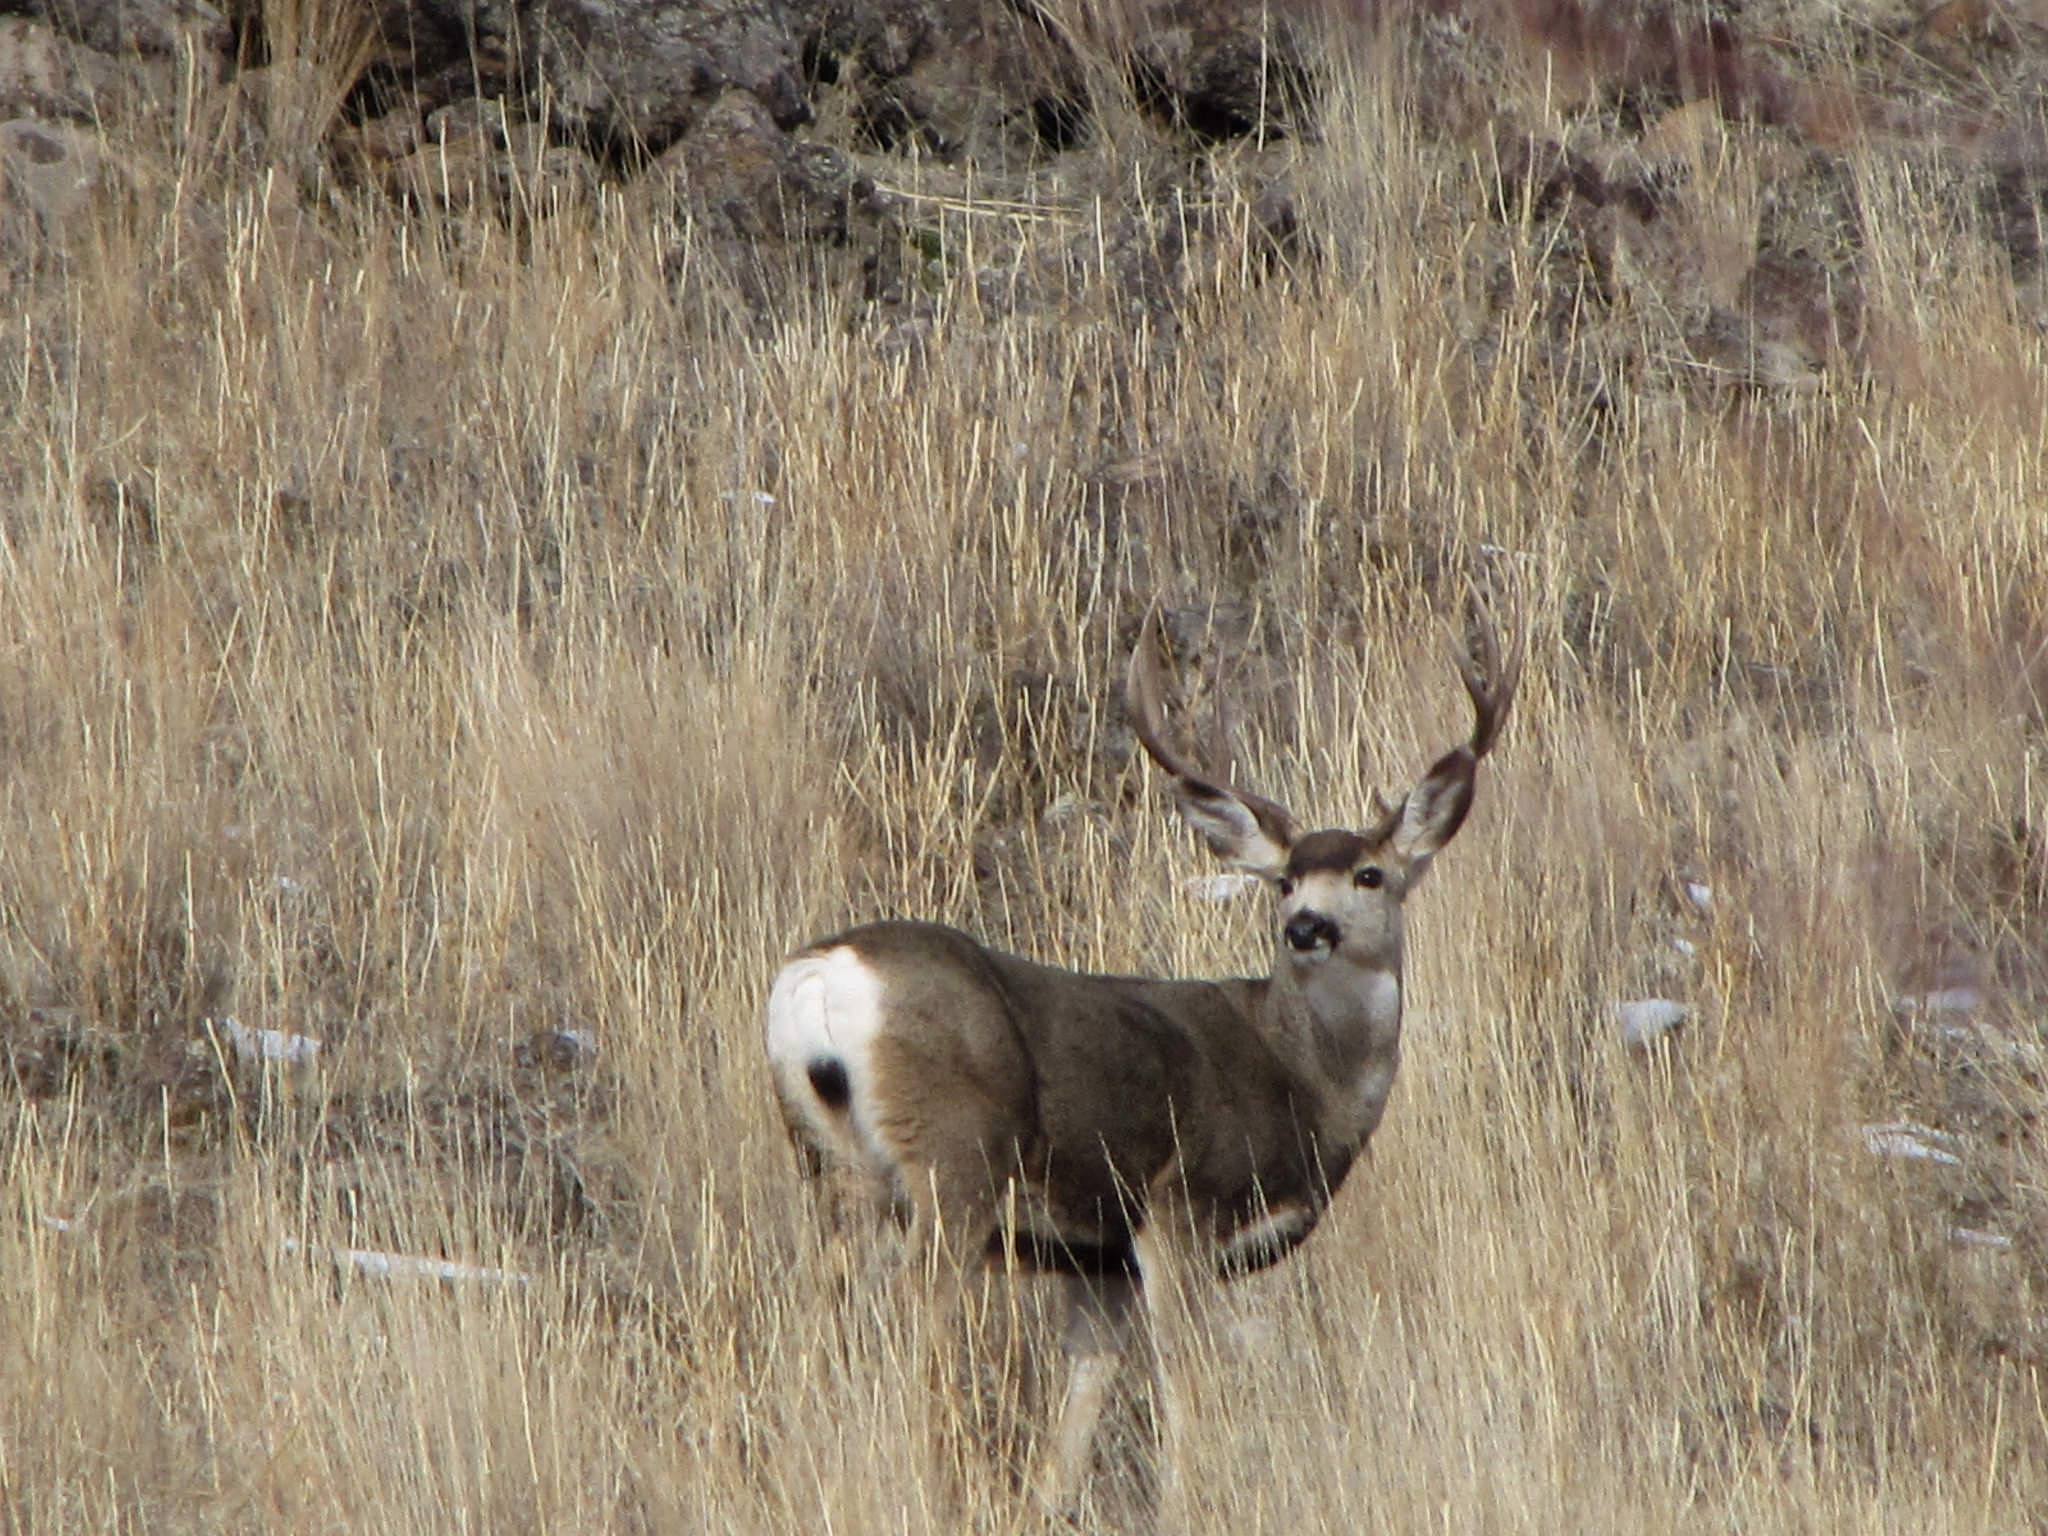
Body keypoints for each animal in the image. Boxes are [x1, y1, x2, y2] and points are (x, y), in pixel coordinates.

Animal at [765, 606, 1523, 1515]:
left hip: (828, 1167)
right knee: (917, 1317)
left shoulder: (1098, 1259)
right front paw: (1189, 1500)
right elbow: (1186, 1380)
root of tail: (819, 975)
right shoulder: (1179, 1208)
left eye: (1371, 875)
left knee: (816, 1320)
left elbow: (1087, 1389)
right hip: (953, 1158)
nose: (1307, 926)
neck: (1304, 1081)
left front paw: (1051, 1503)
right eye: (1286, 880)